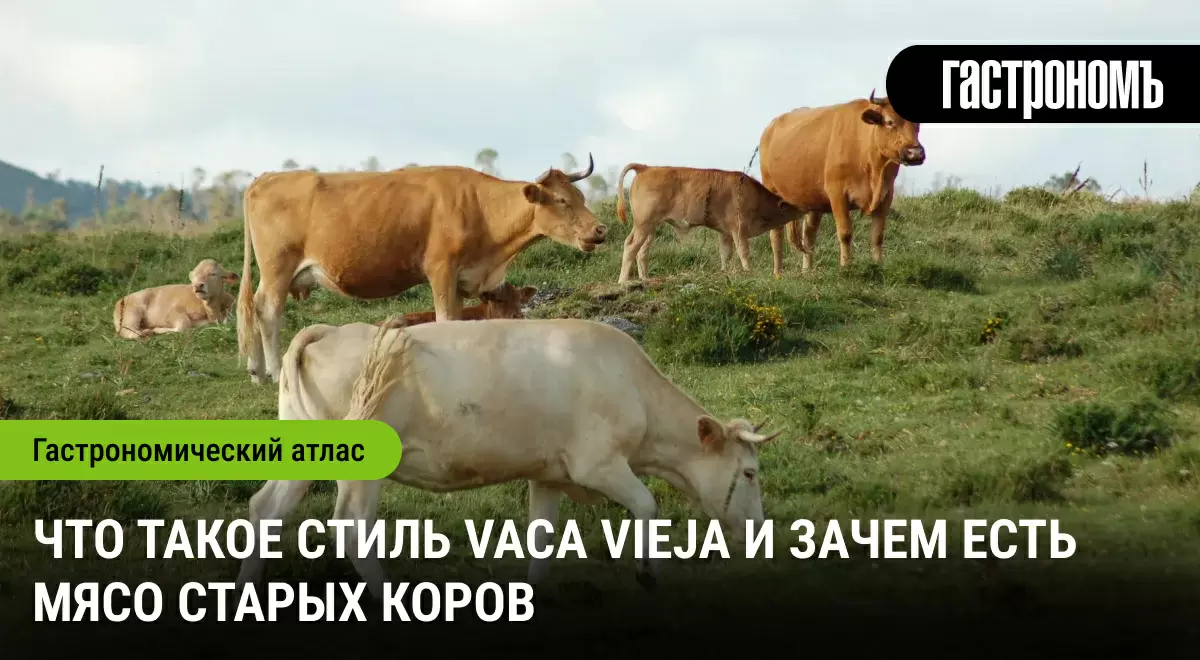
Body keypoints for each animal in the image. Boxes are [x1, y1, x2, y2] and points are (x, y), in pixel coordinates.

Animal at [234, 317, 781, 599]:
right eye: (750, 472)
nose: (759, 528)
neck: (632, 385)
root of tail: (330, 329)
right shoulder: (598, 464)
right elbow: (648, 505)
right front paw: (649, 571)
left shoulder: (549, 474)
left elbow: (542, 539)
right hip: (362, 466)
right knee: (351, 526)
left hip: (303, 454)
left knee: (267, 509)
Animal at [613, 164, 805, 283]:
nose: (805, 209)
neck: (757, 198)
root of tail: (646, 168)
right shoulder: (739, 228)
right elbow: (743, 251)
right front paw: (748, 271)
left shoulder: (725, 232)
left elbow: (725, 254)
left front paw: (725, 272)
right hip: (644, 223)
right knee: (631, 246)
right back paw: (623, 281)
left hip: (649, 226)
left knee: (641, 251)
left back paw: (645, 279)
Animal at [757, 90, 926, 276]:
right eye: (889, 122)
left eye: (917, 123)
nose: (915, 153)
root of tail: (771, 127)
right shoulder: (837, 193)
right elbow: (845, 233)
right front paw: (846, 266)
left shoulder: (886, 195)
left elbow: (877, 236)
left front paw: (878, 265)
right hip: (772, 191)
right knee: (776, 235)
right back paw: (778, 274)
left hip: (813, 201)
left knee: (808, 235)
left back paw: (807, 271)